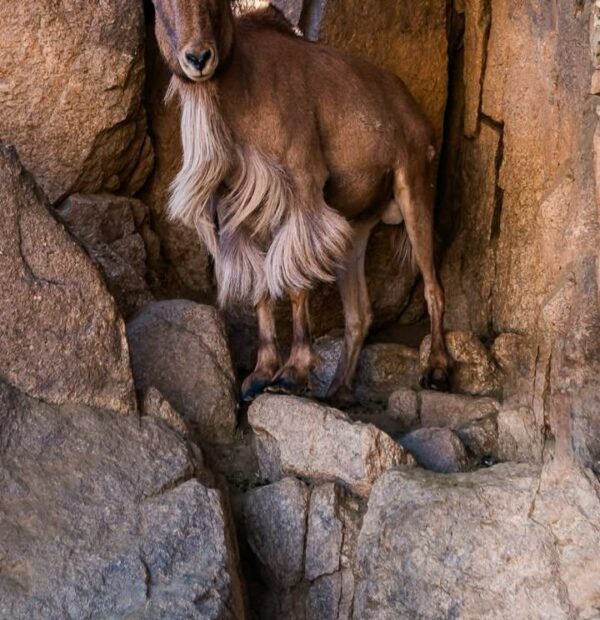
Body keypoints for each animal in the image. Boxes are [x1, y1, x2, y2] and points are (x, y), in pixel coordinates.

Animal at [151, 0, 450, 406]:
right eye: (157, 3)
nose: (198, 58)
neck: (243, 85)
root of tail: (414, 111)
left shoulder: (304, 186)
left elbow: (294, 280)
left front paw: (292, 374)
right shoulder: (239, 208)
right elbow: (260, 287)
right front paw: (260, 375)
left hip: (415, 187)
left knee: (433, 285)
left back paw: (437, 369)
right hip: (355, 228)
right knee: (360, 312)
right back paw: (339, 391)